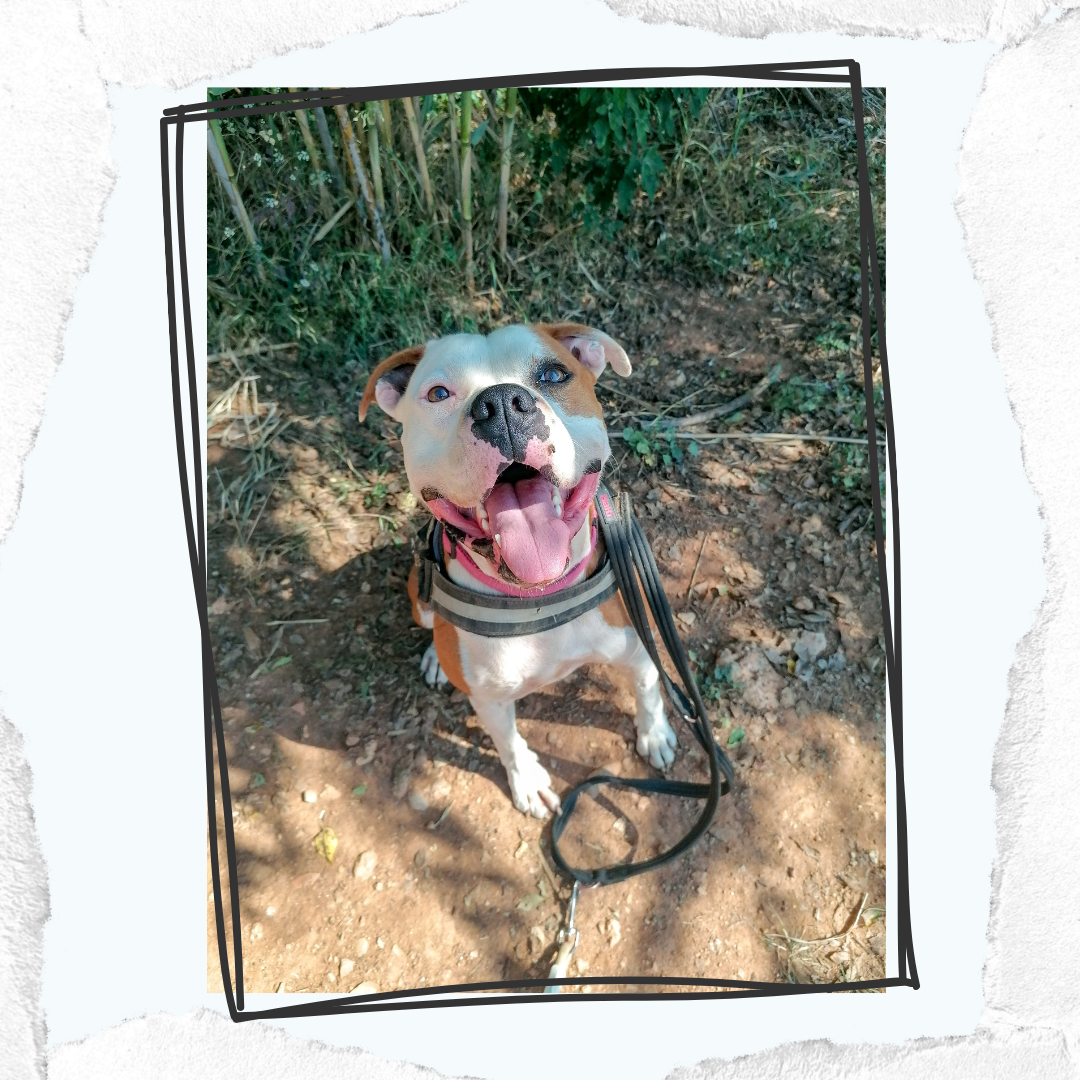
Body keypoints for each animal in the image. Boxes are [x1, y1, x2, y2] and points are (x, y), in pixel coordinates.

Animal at [359, 322, 677, 819]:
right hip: (418, 593)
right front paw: (527, 780)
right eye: (438, 393)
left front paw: (655, 733)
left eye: (553, 374)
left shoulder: (638, 642)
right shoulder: (489, 698)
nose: (501, 404)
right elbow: (508, 741)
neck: (539, 598)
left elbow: (648, 689)